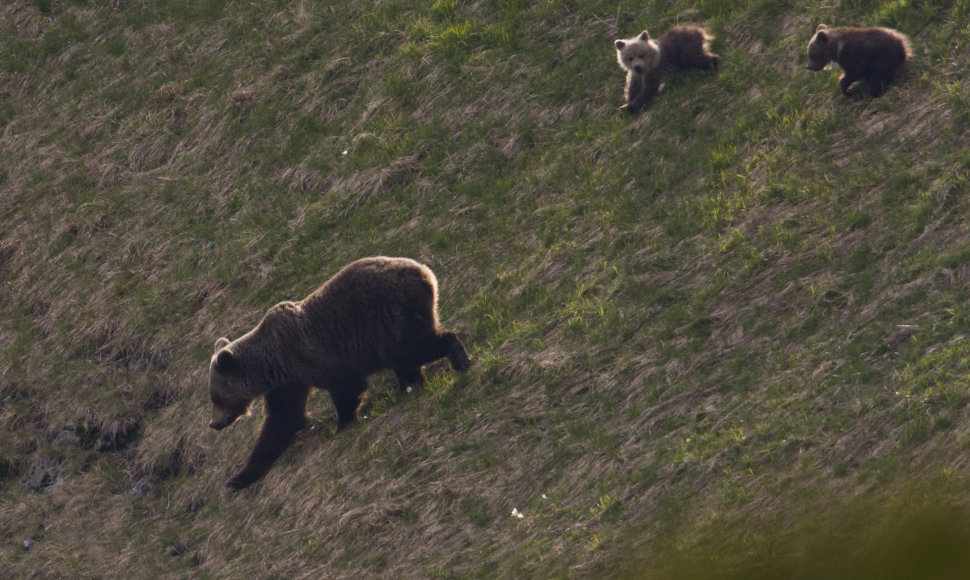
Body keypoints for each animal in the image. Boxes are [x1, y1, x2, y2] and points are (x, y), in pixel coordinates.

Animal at [208, 258, 468, 490]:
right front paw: (238, 478)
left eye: (216, 398)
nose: (214, 423)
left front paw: (340, 425)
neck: (274, 363)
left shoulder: (314, 355)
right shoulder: (289, 382)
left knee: (410, 349)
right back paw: (409, 385)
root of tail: (425, 272)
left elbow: (345, 387)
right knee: (405, 359)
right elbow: (281, 419)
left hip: (389, 315)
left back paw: (457, 358)